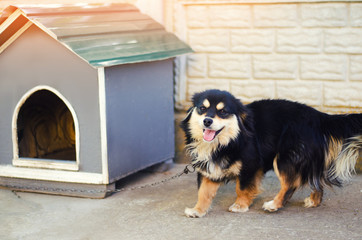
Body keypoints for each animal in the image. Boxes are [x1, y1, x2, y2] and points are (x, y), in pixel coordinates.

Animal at [181, 89, 362, 218]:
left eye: (223, 112)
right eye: (202, 109)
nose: (207, 121)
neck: (228, 142)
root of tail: (319, 117)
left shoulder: (250, 166)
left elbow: (242, 188)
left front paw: (240, 206)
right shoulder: (208, 169)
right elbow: (203, 193)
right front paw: (198, 210)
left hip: (284, 158)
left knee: (290, 184)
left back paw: (274, 205)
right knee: (316, 180)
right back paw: (313, 201)